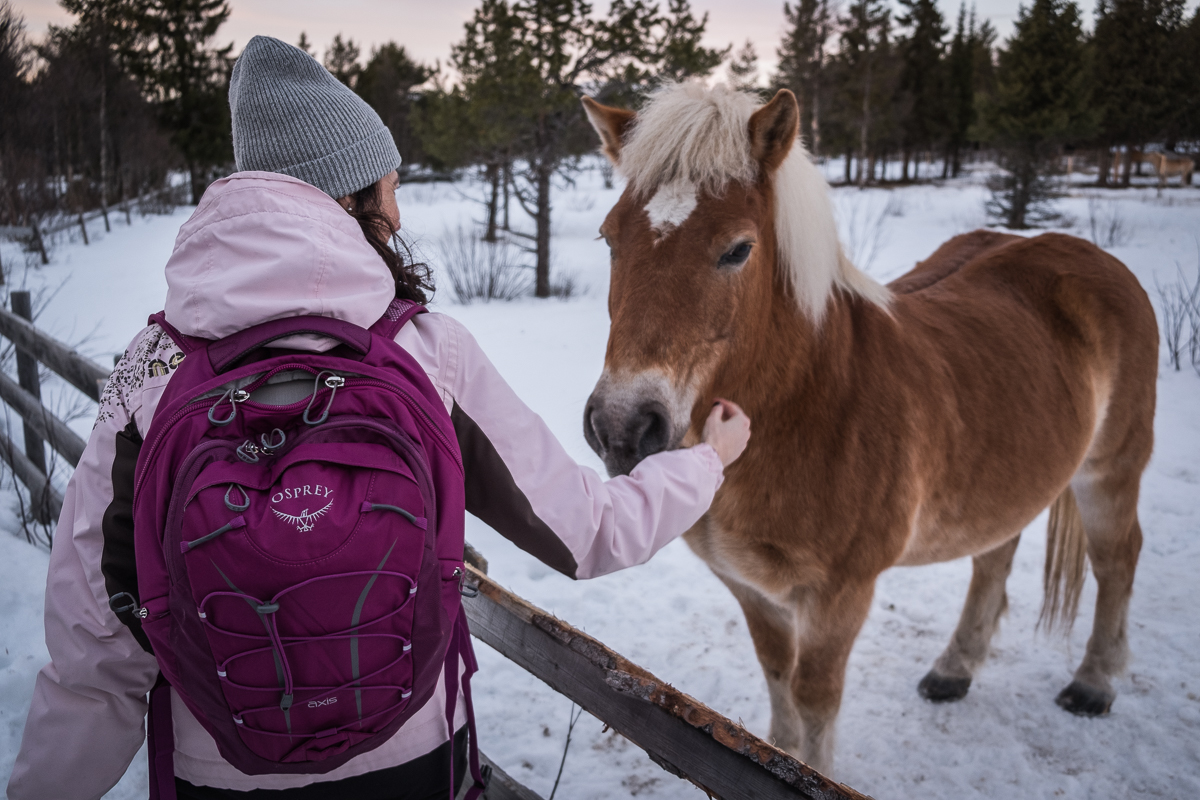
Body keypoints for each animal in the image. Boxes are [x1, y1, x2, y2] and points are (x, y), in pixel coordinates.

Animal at [580, 82, 1161, 777]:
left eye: (738, 249)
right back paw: (953, 670)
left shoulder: (839, 596)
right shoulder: (752, 591)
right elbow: (777, 681)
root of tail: (1095, 258)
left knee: (1117, 559)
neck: (808, 407)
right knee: (994, 554)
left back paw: (1093, 684)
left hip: (1110, 470)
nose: (623, 427)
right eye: (610, 239)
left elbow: (813, 699)